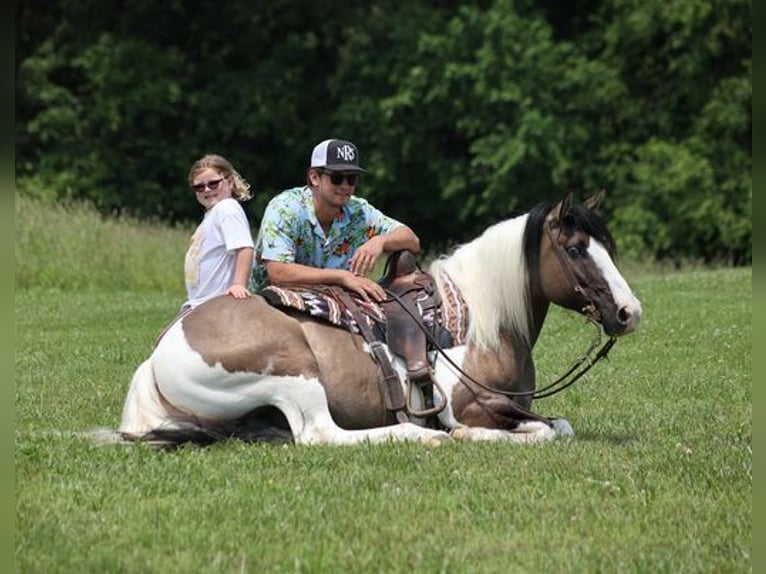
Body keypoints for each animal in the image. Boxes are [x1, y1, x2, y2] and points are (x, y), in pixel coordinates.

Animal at [118, 194, 640, 450]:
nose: (629, 312)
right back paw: (421, 435)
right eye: (576, 249)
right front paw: (464, 436)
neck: (483, 322)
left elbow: (560, 425)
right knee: (319, 435)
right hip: (294, 371)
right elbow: (542, 432)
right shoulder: (468, 406)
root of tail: (157, 357)